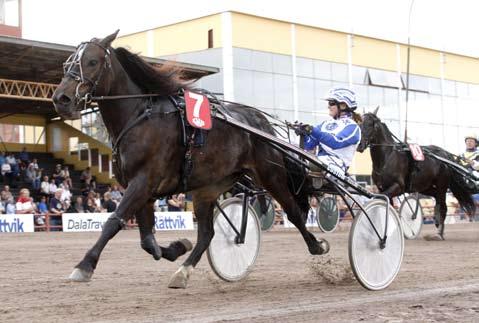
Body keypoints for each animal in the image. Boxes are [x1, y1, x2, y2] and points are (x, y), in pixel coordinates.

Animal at [53, 31, 330, 288]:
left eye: (92, 61)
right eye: (67, 64)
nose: (61, 99)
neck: (140, 117)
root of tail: (259, 121)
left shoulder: (143, 181)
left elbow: (114, 222)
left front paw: (84, 265)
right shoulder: (141, 187)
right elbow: (147, 241)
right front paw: (178, 246)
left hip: (270, 174)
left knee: (293, 211)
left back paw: (317, 245)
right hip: (208, 188)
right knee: (207, 234)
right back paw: (183, 271)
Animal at [358, 109, 474, 240]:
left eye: (369, 124)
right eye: (359, 123)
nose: (359, 145)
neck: (387, 158)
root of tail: (445, 154)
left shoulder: (398, 187)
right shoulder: (382, 187)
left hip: (442, 185)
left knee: (443, 206)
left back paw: (439, 233)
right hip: (425, 187)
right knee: (436, 198)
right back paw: (436, 221)